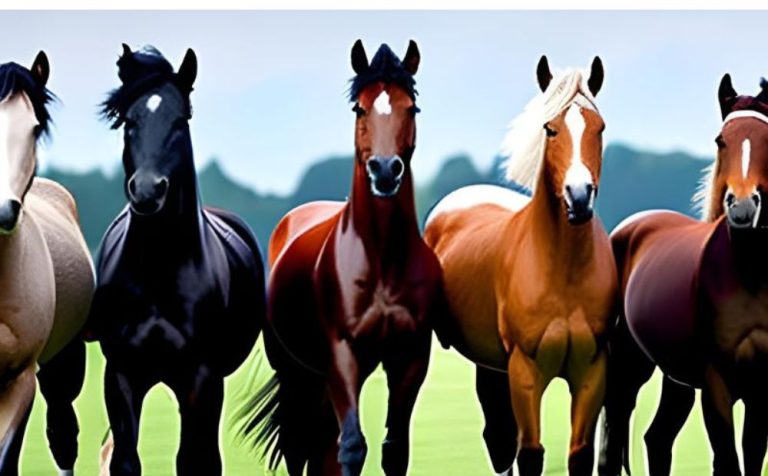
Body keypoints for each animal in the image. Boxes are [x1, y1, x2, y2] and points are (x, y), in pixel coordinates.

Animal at [87, 45, 266, 476]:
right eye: (129, 121)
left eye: (180, 119)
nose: (148, 191)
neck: (159, 267)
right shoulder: (122, 376)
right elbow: (125, 460)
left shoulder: (200, 379)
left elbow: (194, 461)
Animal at [238, 40, 446, 476]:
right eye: (359, 109)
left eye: (412, 108)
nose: (385, 171)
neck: (382, 258)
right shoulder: (341, 355)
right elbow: (352, 447)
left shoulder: (410, 358)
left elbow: (393, 449)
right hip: (297, 375)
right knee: (300, 446)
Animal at [424, 56, 616, 476]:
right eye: (551, 128)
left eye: (600, 128)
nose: (579, 196)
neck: (563, 273)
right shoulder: (525, 371)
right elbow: (529, 454)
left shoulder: (591, 371)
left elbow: (579, 455)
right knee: (500, 442)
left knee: (499, 439)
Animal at [598, 76, 768, 476]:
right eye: (721, 140)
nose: (742, 207)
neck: (748, 272)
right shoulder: (716, 382)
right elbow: (727, 459)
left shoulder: (761, 387)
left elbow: (752, 456)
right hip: (627, 364)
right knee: (614, 440)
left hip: (674, 379)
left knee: (657, 439)